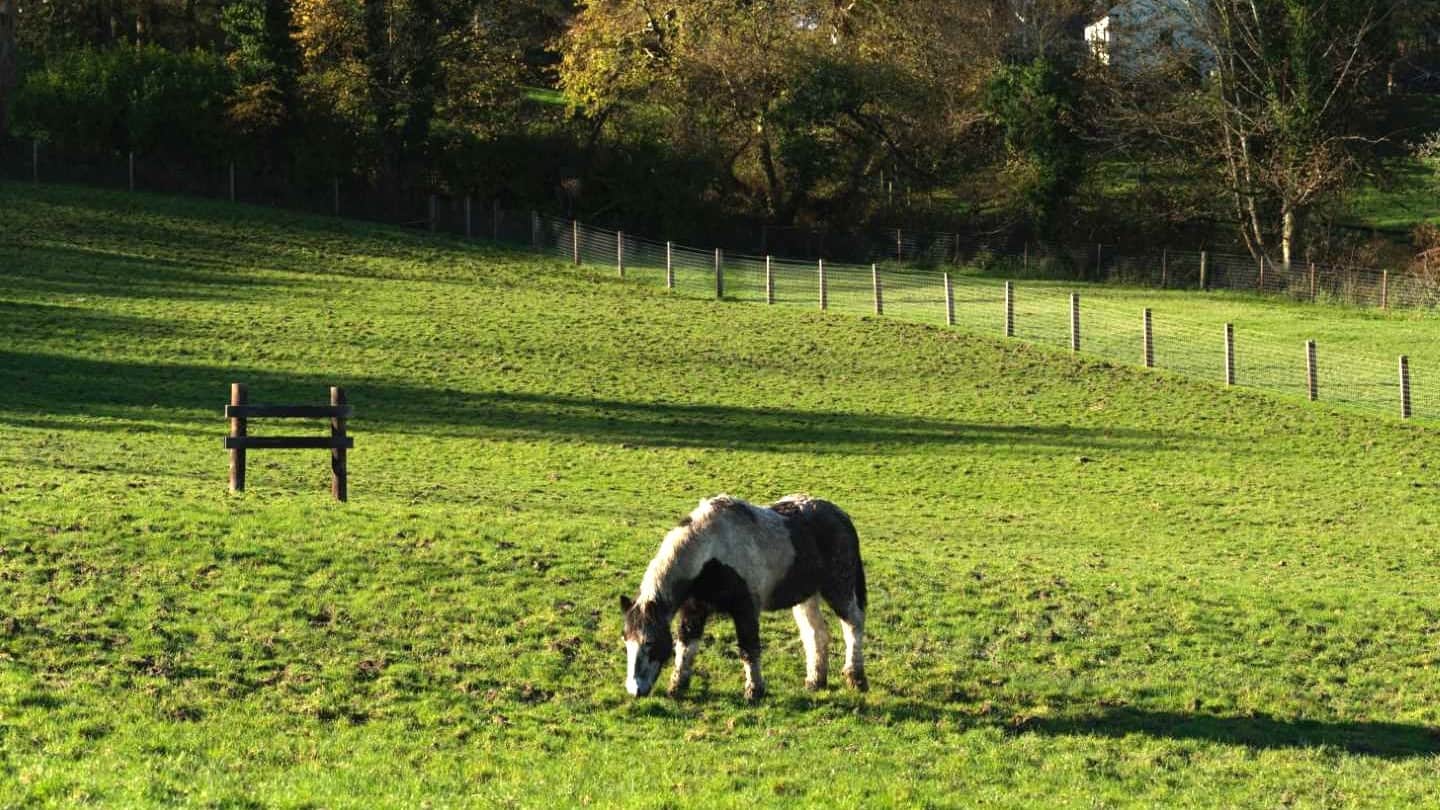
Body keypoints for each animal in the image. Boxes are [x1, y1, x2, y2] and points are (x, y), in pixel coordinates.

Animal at [619, 493, 868, 702]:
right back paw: (815, 682)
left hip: (839, 589)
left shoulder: (745, 609)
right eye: (626, 641)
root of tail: (841, 516)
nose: (635, 690)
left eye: (649, 642)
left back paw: (856, 679)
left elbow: (749, 649)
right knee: (815, 633)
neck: (710, 552)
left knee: (853, 625)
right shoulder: (694, 610)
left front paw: (754, 691)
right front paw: (677, 687)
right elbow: (686, 646)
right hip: (807, 597)